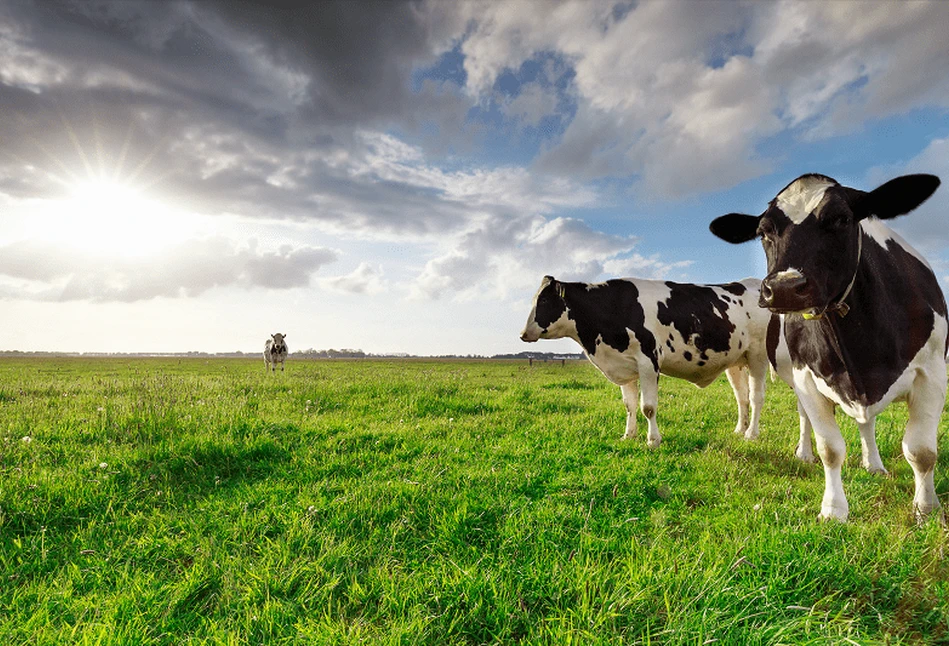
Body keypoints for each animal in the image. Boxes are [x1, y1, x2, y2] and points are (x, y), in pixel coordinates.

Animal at [524, 276, 772, 448]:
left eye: (544, 300)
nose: (523, 333)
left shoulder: (648, 362)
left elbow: (648, 407)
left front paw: (653, 440)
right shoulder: (624, 365)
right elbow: (629, 405)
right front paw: (628, 435)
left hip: (758, 355)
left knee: (756, 397)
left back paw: (751, 434)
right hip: (736, 361)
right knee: (741, 397)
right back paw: (739, 430)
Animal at [712, 173, 948, 528]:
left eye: (841, 219)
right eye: (764, 231)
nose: (783, 288)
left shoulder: (931, 374)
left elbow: (920, 451)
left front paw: (926, 509)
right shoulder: (807, 379)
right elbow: (830, 448)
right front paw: (834, 509)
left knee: (867, 424)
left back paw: (874, 464)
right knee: (807, 418)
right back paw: (804, 453)